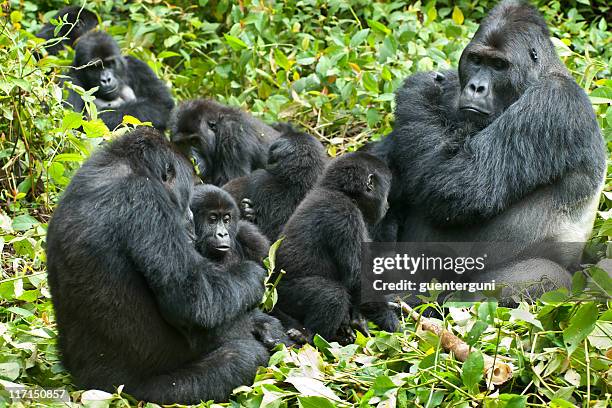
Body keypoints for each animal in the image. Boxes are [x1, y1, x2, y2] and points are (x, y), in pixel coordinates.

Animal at [46, 129, 278, 404]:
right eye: (186, 194)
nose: (189, 218)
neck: (126, 165)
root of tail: (84, 383)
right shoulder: (146, 200)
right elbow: (195, 300)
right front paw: (255, 276)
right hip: (145, 393)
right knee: (243, 357)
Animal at [274, 153, 400, 344]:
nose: (388, 205)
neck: (342, 193)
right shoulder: (346, 216)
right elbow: (357, 277)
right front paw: (390, 321)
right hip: (283, 295)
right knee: (332, 295)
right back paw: (310, 337)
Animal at [368, 0, 608, 296]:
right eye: (476, 60)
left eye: (498, 65)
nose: (476, 87)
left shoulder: (554, 101)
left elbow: (463, 182)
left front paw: (419, 89)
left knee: (533, 279)